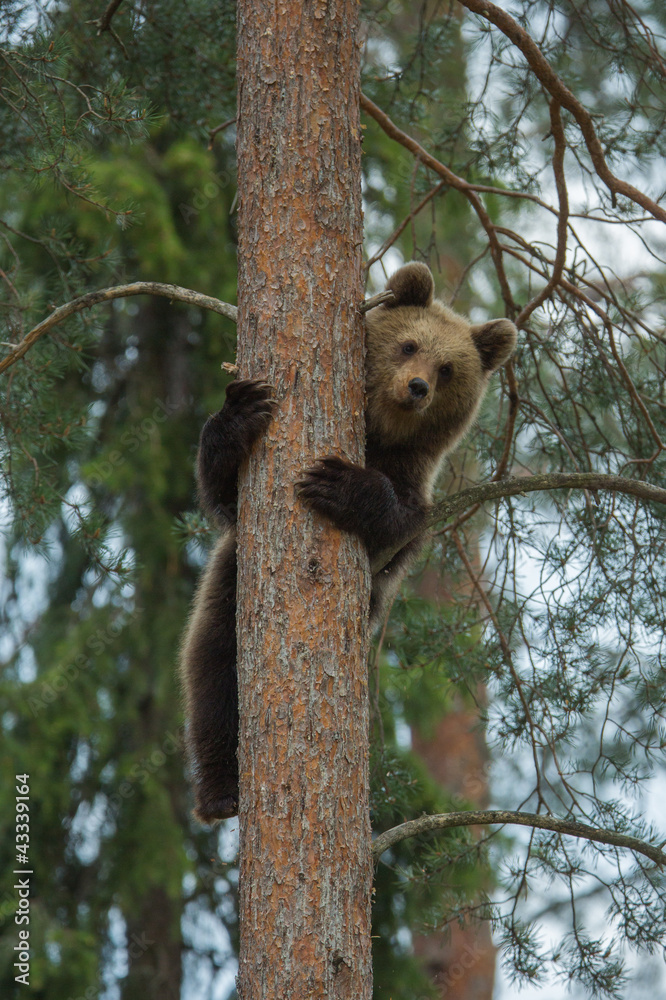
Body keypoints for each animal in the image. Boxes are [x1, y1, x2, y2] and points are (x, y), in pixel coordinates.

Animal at [180, 262, 517, 823]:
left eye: (448, 368)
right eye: (407, 345)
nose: (418, 386)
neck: (379, 434)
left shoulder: (413, 492)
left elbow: (396, 523)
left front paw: (338, 484)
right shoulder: (236, 517)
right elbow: (223, 491)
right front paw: (241, 411)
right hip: (230, 587)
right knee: (213, 674)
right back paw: (221, 792)